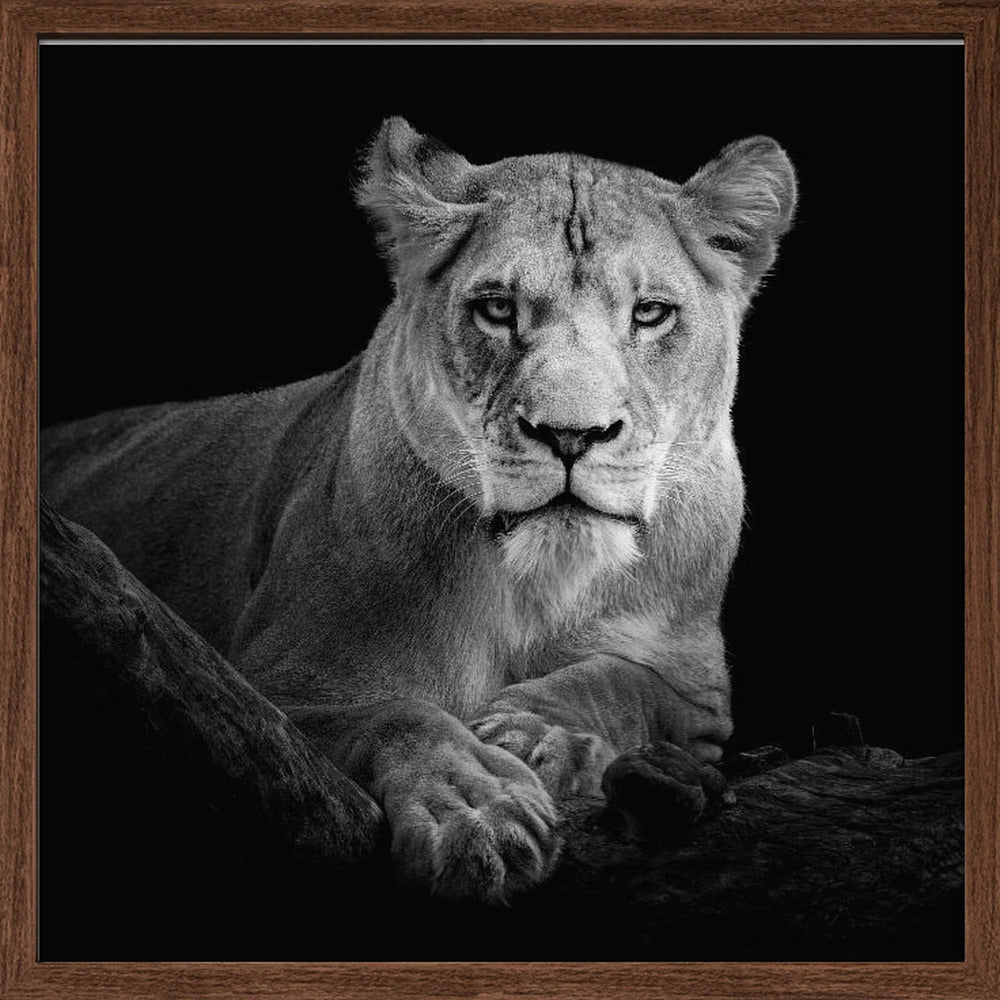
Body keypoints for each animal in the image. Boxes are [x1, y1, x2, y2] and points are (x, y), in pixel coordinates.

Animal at [41, 118, 796, 903]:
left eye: (650, 314)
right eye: (497, 308)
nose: (570, 435)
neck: (535, 584)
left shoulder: (697, 690)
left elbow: (622, 681)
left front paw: (538, 736)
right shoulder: (264, 692)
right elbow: (399, 715)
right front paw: (478, 811)